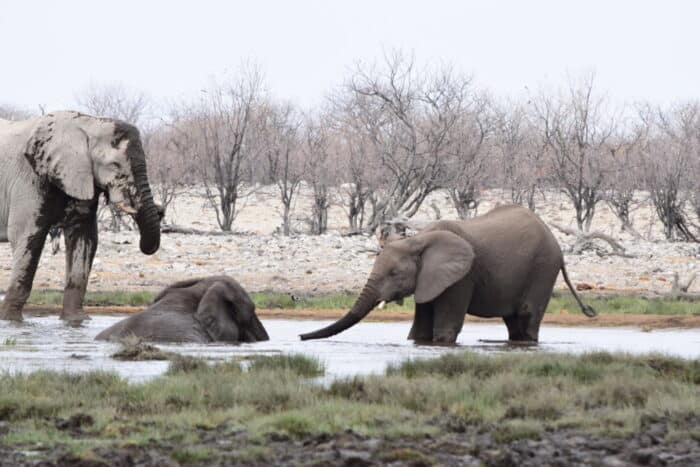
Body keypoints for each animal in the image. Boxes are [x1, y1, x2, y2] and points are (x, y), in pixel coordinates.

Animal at [0, 111, 162, 322]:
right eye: (114, 165)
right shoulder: (30, 178)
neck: (89, 123)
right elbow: (27, 236)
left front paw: (76, 320)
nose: (160, 211)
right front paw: (11, 320)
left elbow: (85, 238)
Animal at [300, 205, 596, 344]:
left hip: (543, 268)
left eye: (394, 273)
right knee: (514, 323)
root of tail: (555, 241)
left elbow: (446, 329)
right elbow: (419, 331)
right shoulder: (429, 279)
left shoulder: (461, 277)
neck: (418, 240)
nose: (300, 337)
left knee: (527, 318)